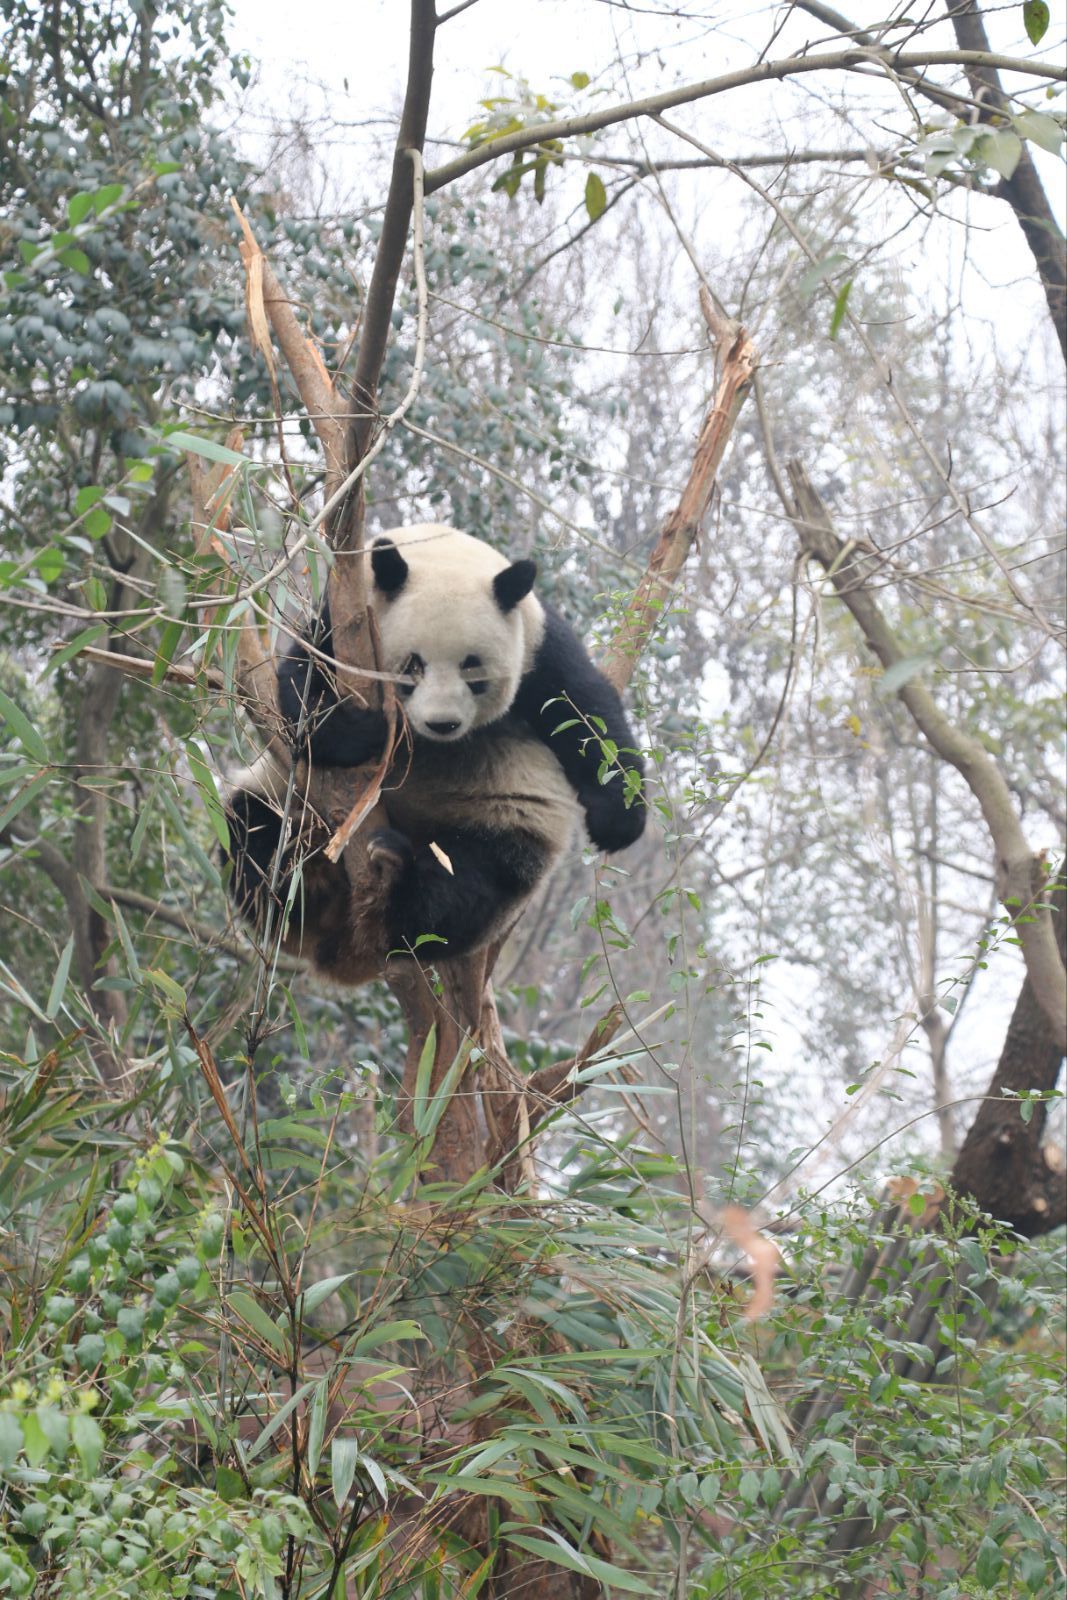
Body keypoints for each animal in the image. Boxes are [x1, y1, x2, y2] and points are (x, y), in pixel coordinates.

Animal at [223, 524, 643, 979]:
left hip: (506, 821)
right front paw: (361, 730)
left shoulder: (539, 644)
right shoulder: (339, 622)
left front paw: (617, 821)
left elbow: (584, 711)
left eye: (473, 668)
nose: (443, 724)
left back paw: (395, 875)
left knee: (469, 885)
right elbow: (300, 692)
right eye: (413, 666)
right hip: (279, 793)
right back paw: (296, 880)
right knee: (252, 836)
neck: (440, 549)